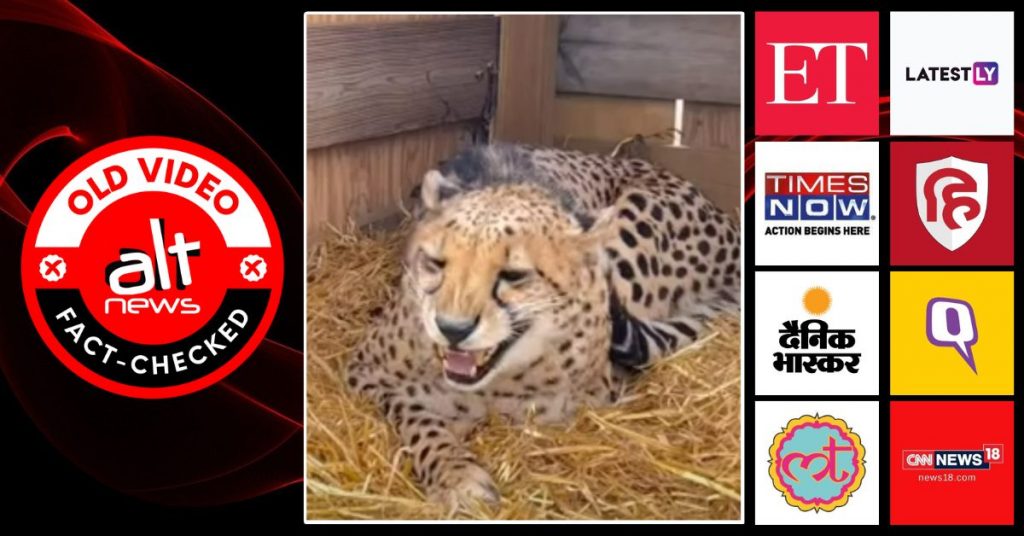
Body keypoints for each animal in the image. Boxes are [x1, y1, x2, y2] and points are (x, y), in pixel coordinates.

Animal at [344, 143, 740, 508]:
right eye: (437, 263)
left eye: (514, 275)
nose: (452, 328)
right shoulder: (365, 372)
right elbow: (415, 416)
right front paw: (455, 475)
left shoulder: (591, 395)